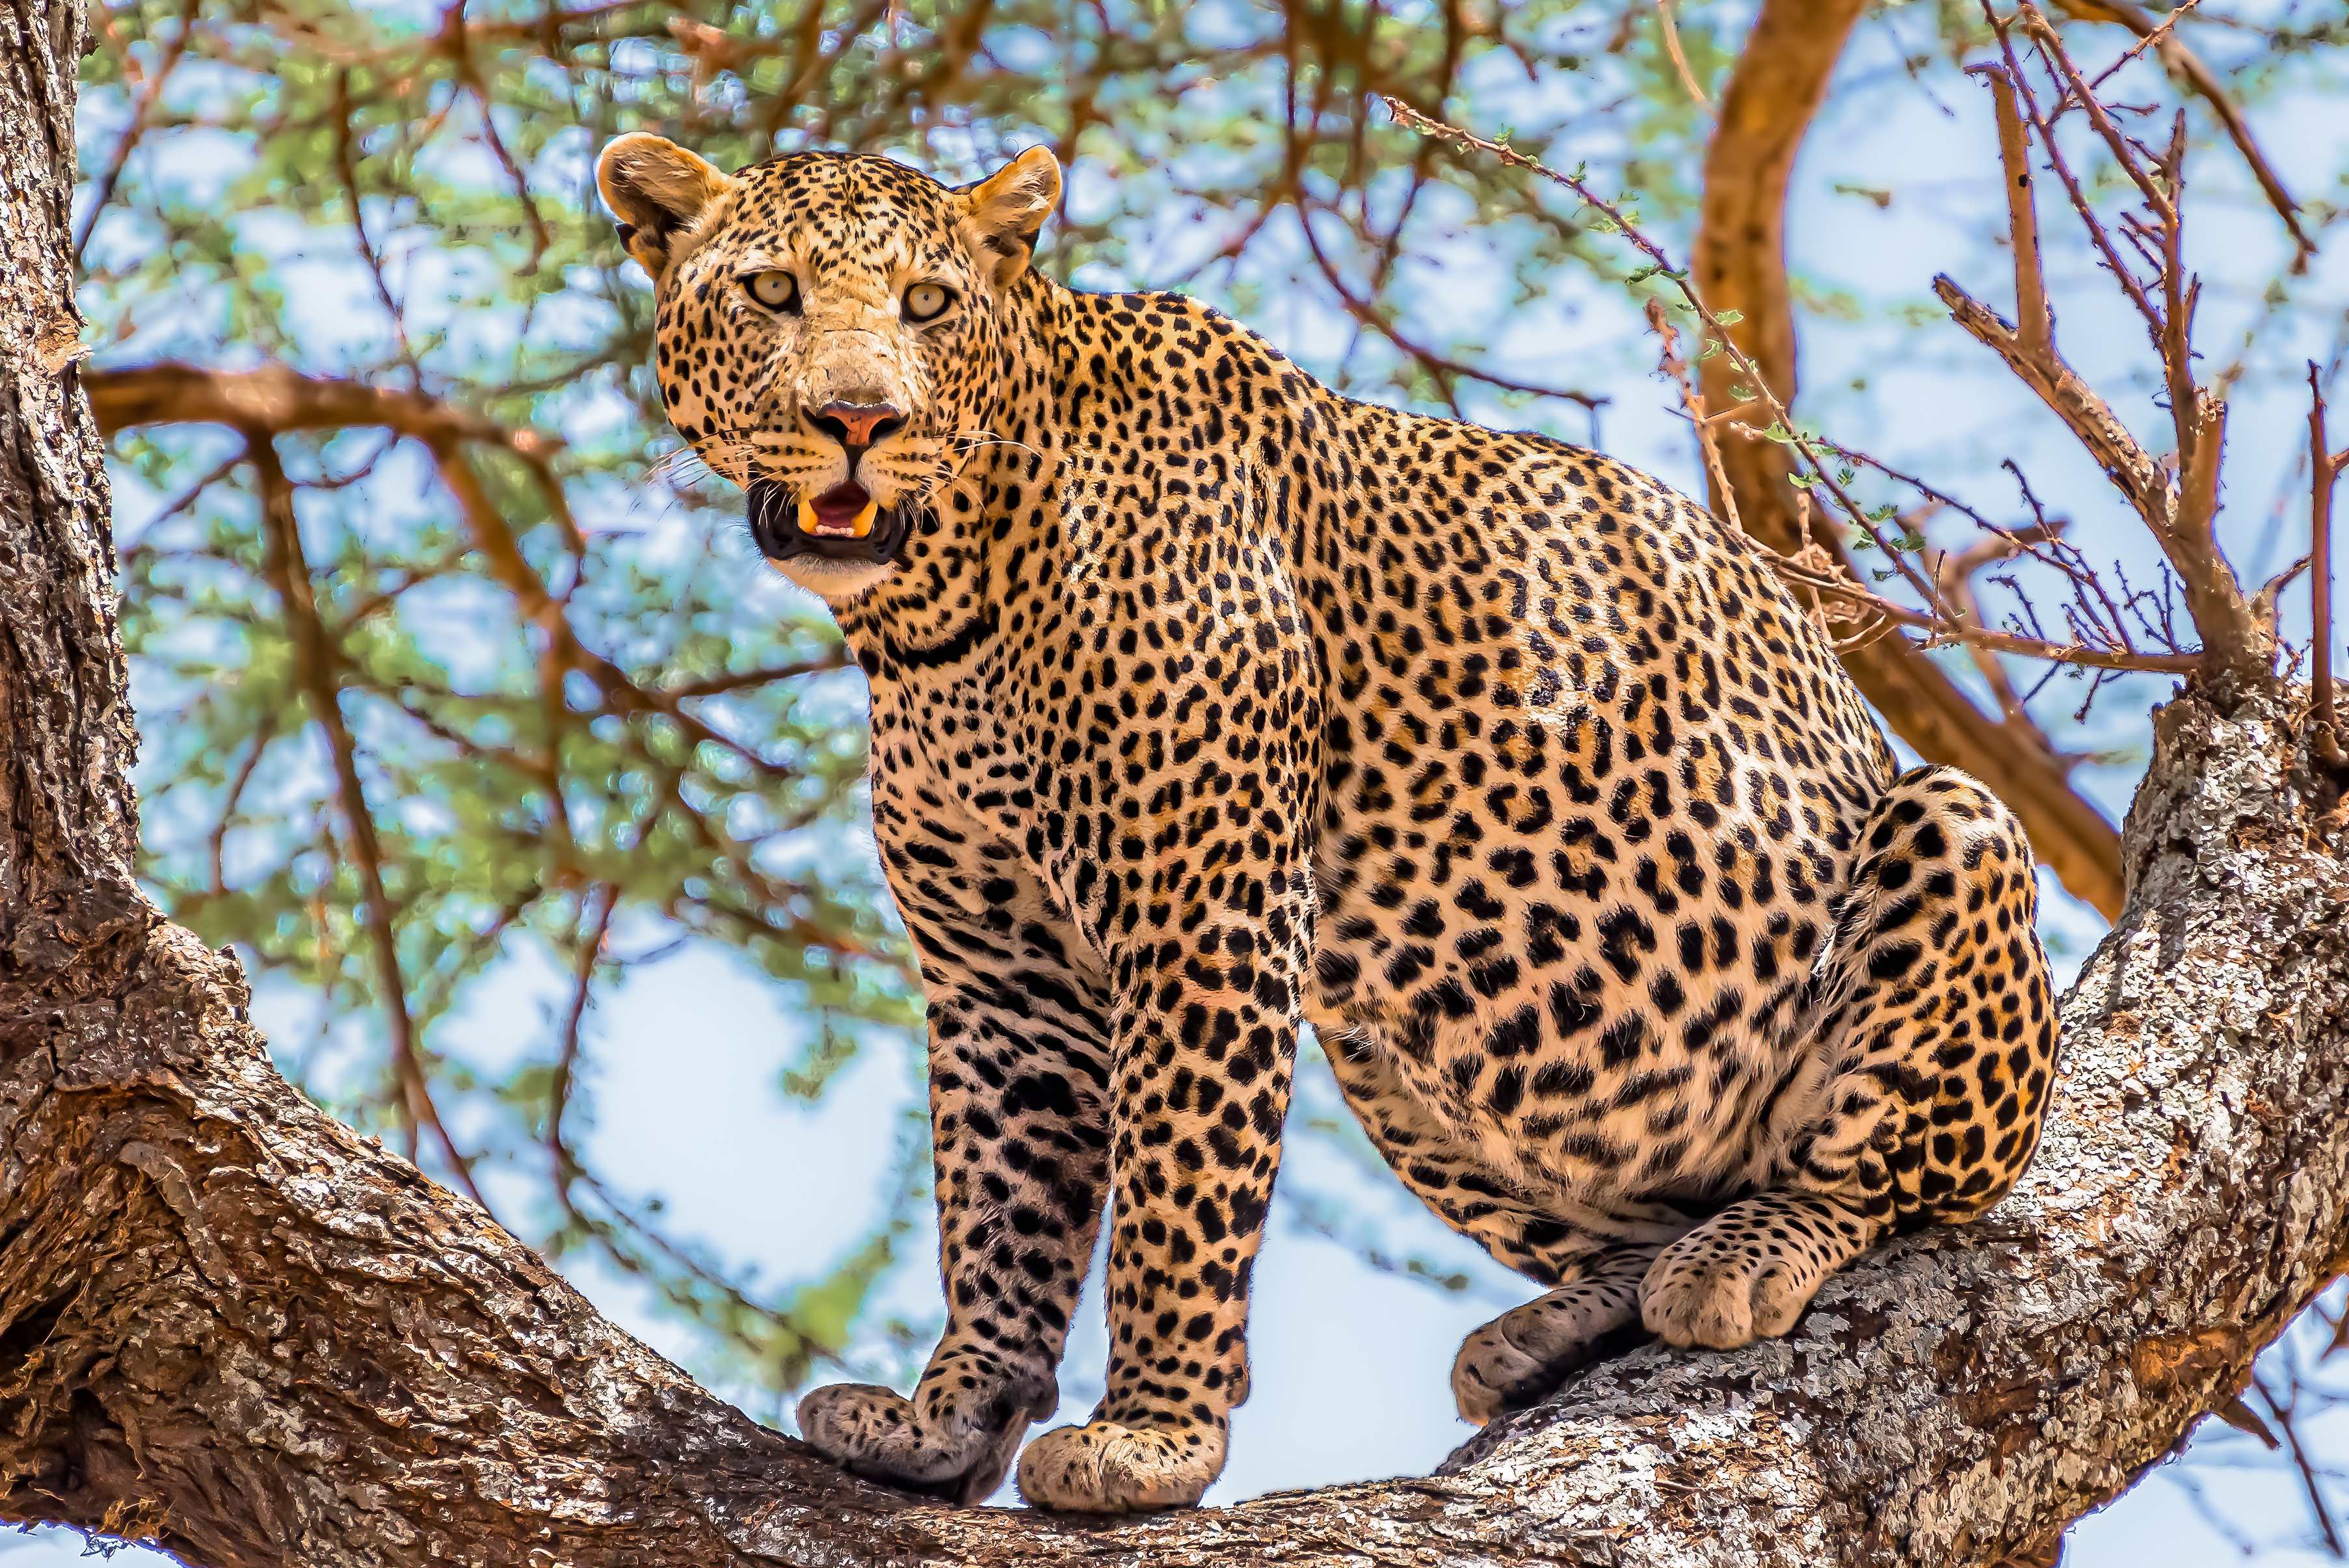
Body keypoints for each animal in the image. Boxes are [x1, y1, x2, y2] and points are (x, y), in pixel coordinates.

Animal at [596, 133, 2060, 1515]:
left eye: (928, 303)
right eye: (772, 293)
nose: (857, 416)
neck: (936, 608)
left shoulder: (1207, 919)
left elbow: (1176, 1195)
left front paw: (1152, 1441)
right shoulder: (1001, 977)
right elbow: (999, 1204)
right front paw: (948, 1416)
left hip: (1953, 835)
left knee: (1880, 1177)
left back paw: (1743, 1254)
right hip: (1397, 1045)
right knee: (1628, 1225)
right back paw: (1555, 1328)